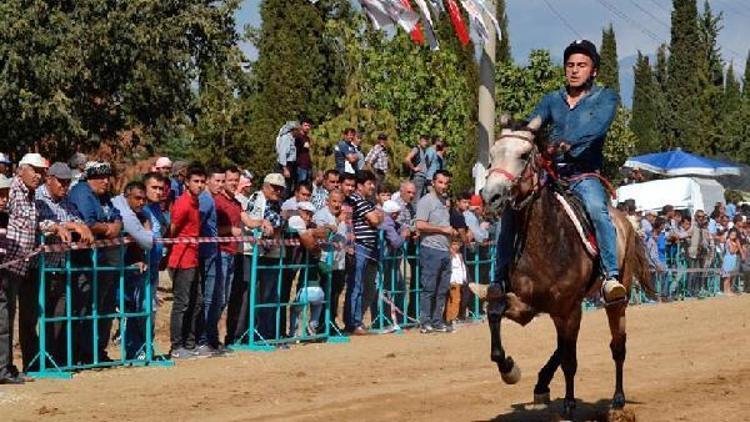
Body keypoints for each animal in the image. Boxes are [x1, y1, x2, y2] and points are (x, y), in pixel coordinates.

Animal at [478, 116, 656, 418]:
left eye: (524, 155)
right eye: (491, 155)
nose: (491, 196)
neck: (544, 241)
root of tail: (626, 221)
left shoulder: (567, 308)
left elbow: (570, 361)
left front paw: (570, 405)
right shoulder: (525, 303)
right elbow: (495, 316)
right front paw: (510, 370)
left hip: (615, 300)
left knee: (617, 346)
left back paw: (618, 401)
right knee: (564, 346)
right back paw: (541, 383)